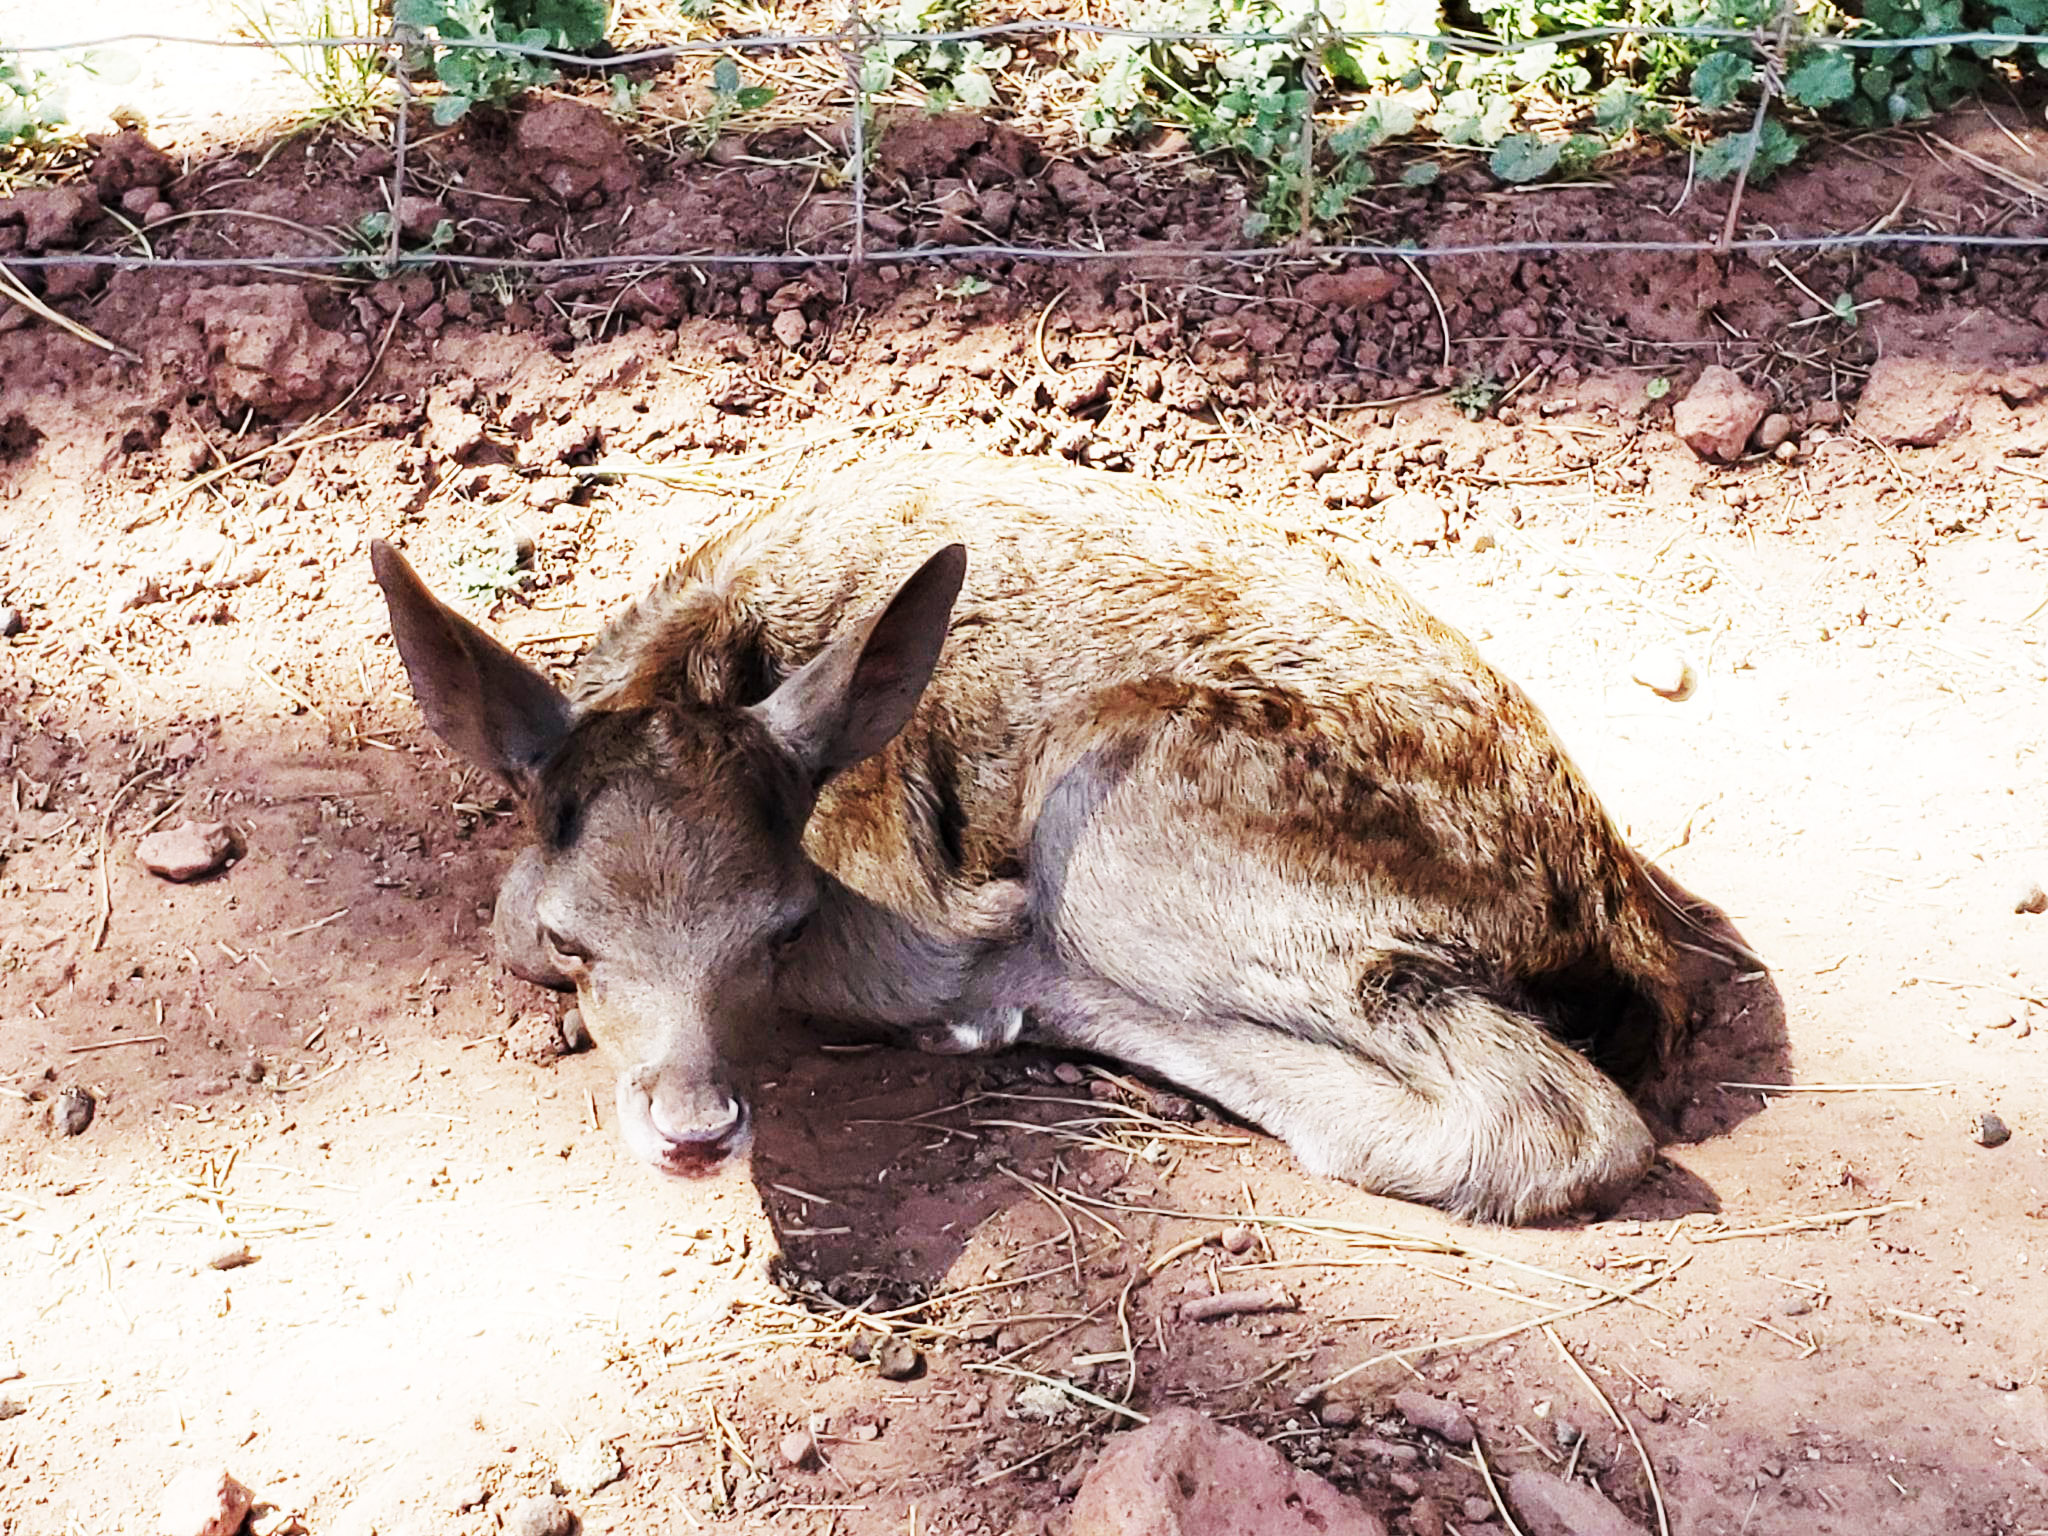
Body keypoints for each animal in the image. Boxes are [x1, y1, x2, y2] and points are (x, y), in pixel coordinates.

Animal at [364, 448, 1695, 1228]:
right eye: (574, 938)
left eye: (780, 929)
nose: (695, 1127)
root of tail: (1615, 919)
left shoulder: (900, 916)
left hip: (1130, 823)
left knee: (1559, 1120)